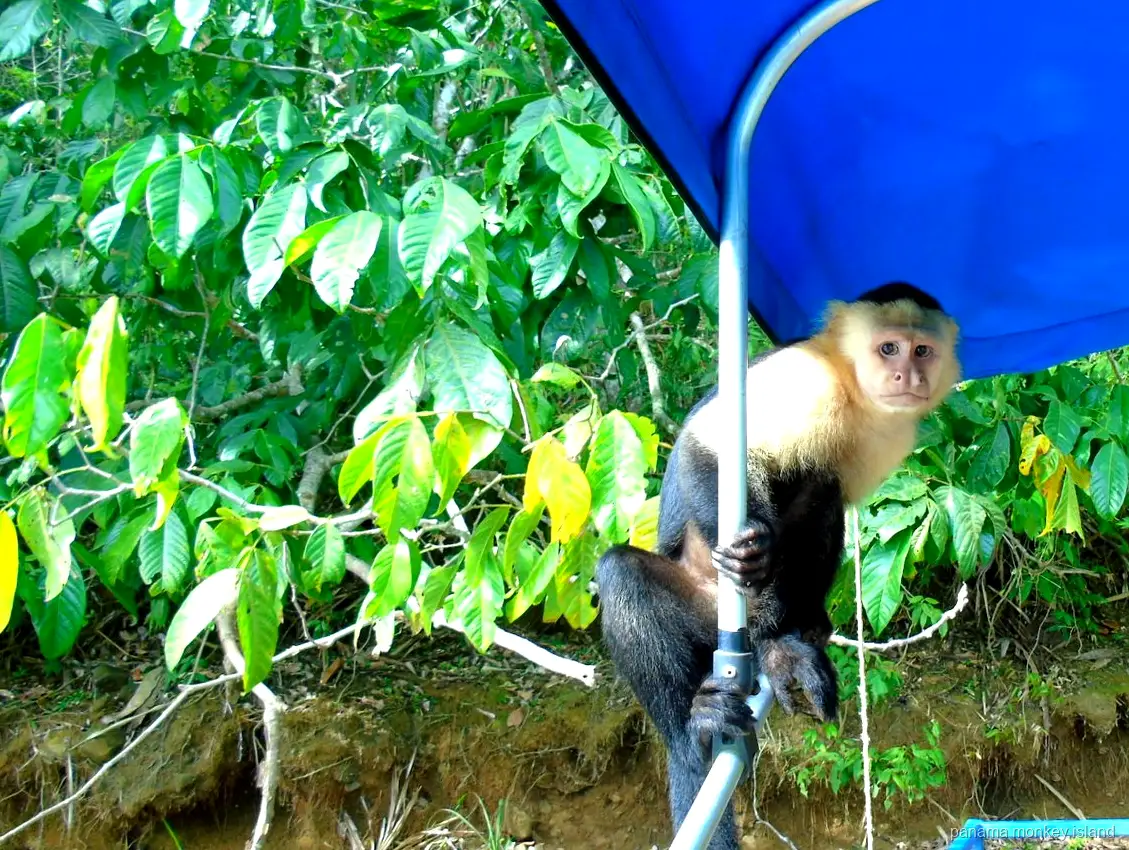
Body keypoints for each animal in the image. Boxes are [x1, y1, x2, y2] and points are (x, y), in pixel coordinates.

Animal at [594, 282, 960, 850]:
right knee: (623, 575)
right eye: (889, 349)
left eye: (922, 351)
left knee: (822, 489)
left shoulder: (892, 436)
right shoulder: (807, 378)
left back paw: (780, 639)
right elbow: (709, 445)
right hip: (704, 607)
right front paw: (753, 555)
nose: (908, 376)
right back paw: (697, 725)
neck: (854, 394)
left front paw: (796, 627)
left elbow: (837, 502)